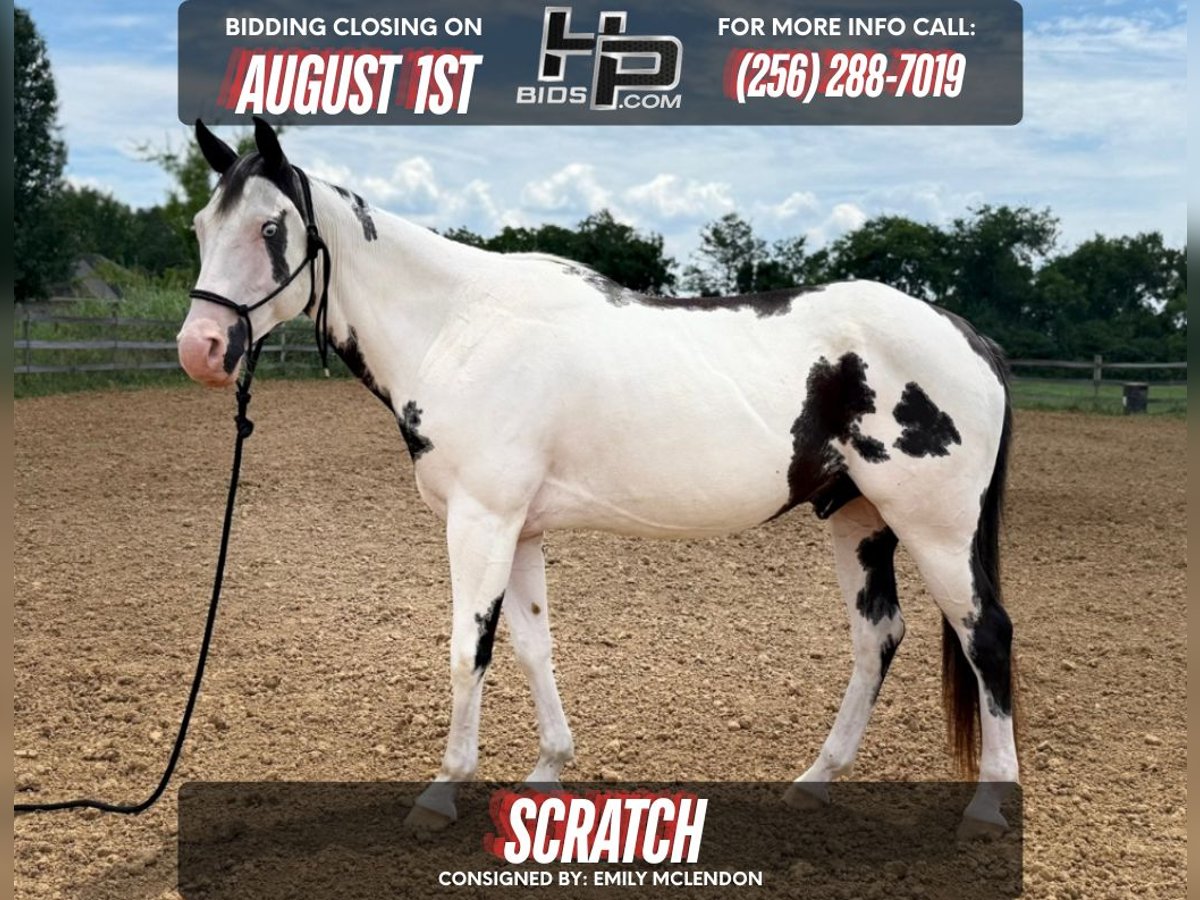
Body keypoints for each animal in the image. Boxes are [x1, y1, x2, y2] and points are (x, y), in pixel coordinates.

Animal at [177, 118, 1019, 840]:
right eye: (200, 228)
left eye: (271, 228)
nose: (202, 348)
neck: (461, 325)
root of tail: (967, 336)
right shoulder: (518, 527)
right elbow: (530, 644)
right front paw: (548, 769)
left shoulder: (479, 520)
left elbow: (467, 649)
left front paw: (441, 793)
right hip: (858, 517)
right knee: (878, 636)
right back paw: (813, 782)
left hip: (936, 530)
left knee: (986, 636)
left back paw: (985, 810)